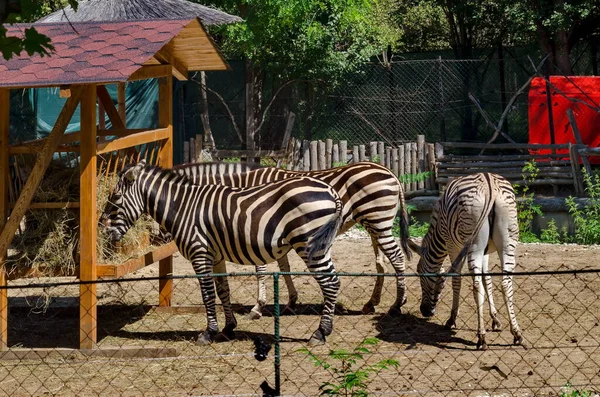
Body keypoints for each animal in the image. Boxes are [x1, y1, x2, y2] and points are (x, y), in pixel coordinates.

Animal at [102, 159, 342, 344]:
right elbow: (222, 290)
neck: (183, 206)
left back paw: (320, 333)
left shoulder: (199, 253)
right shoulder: (216, 255)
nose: (103, 231)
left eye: (115, 198)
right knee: (333, 281)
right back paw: (324, 330)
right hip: (320, 246)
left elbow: (207, 294)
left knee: (330, 283)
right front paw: (228, 327)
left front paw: (208, 333)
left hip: (309, 243)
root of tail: (330, 189)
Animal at [173, 159, 412, 318]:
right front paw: (290, 301)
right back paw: (372, 303)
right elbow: (283, 266)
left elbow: (261, 269)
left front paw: (258, 307)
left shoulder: (255, 230)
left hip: (379, 221)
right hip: (374, 224)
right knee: (381, 262)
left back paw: (397, 305)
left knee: (397, 258)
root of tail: (389, 171)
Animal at [410, 172, 524, 348]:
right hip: (506, 243)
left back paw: (481, 337)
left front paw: (451, 320)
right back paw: (516, 333)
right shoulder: (485, 252)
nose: (424, 311)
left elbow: (457, 280)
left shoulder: (452, 245)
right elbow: (487, 279)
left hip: (474, 244)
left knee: (476, 286)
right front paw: (495, 319)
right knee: (506, 283)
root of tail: (490, 185)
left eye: (420, 275)